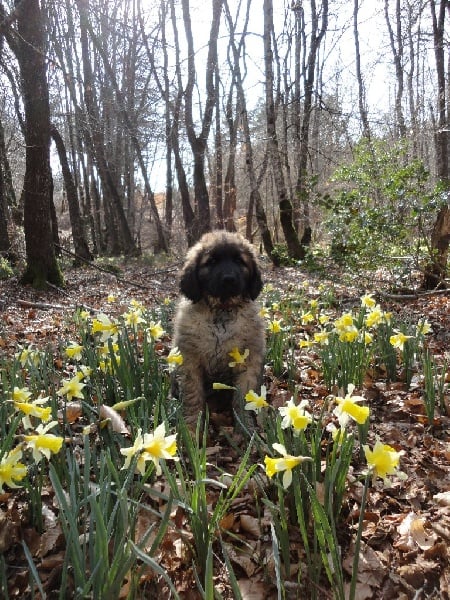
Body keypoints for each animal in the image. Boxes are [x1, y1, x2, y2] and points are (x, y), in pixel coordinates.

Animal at [171, 230, 264, 432]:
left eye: (239, 261)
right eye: (211, 261)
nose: (229, 279)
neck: (222, 310)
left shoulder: (248, 361)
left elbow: (243, 399)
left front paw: (245, 428)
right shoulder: (189, 361)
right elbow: (193, 396)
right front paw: (191, 429)